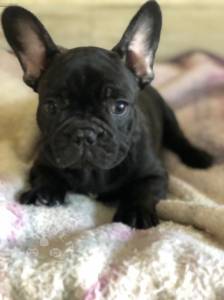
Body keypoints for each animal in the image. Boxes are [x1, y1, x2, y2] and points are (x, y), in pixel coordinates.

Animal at [0, 1, 213, 229]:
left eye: (119, 107)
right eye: (51, 107)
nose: (84, 133)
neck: (92, 172)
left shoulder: (154, 174)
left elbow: (142, 190)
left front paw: (136, 211)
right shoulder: (43, 162)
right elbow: (45, 176)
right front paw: (42, 192)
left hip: (169, 116)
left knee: (179, 139)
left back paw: (199, 157)